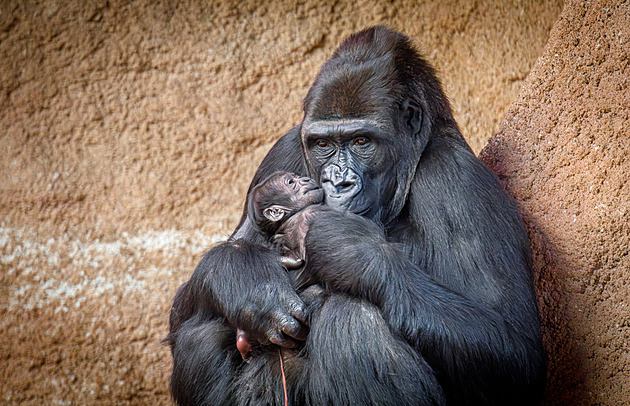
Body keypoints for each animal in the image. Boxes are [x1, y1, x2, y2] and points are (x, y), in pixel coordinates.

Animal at [168, 26, 548, 406]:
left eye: (362, 141)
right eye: (322, 145)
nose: (338, 181)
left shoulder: (458, 178)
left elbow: (514, 347)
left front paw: (349, 249)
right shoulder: (284, 149)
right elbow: (186, 306)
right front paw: (248, 279)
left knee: (355, 319)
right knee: (201, 329)